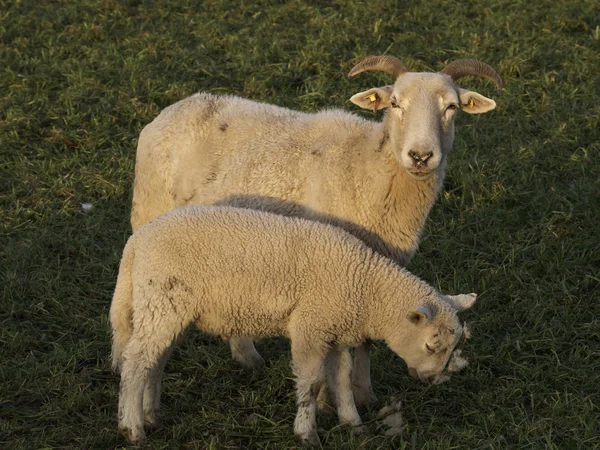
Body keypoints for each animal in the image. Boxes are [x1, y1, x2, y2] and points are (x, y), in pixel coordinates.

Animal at [111, 206, 478, 444]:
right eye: (431, 345)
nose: (431, 380)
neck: (366, 288)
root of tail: (136, 243)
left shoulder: (335, 331)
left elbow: (341, 379)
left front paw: (352, 423)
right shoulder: (310, 327)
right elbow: (312, 384)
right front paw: (307, 433)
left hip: (168, 309)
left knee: (155, 362)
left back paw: (152, 416)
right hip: (161, 300)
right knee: (136, 363)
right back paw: (133, 429)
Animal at [130, 53, 502, 408]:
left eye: (451, 107)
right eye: (395, 103)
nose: (421, 156)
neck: (370, 167)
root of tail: (176, 107)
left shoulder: (376, 267)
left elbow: (367, 339)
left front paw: (365, 395)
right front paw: (326, 400)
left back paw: (247, 357)